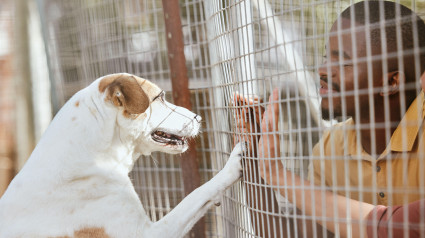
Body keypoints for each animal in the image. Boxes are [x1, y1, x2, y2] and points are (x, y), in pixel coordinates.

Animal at [0, 73, 242, 238]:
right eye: (160, 97)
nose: (199, 118)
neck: (91, 156)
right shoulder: (150, 233)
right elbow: (197, 194)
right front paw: (231, 166)